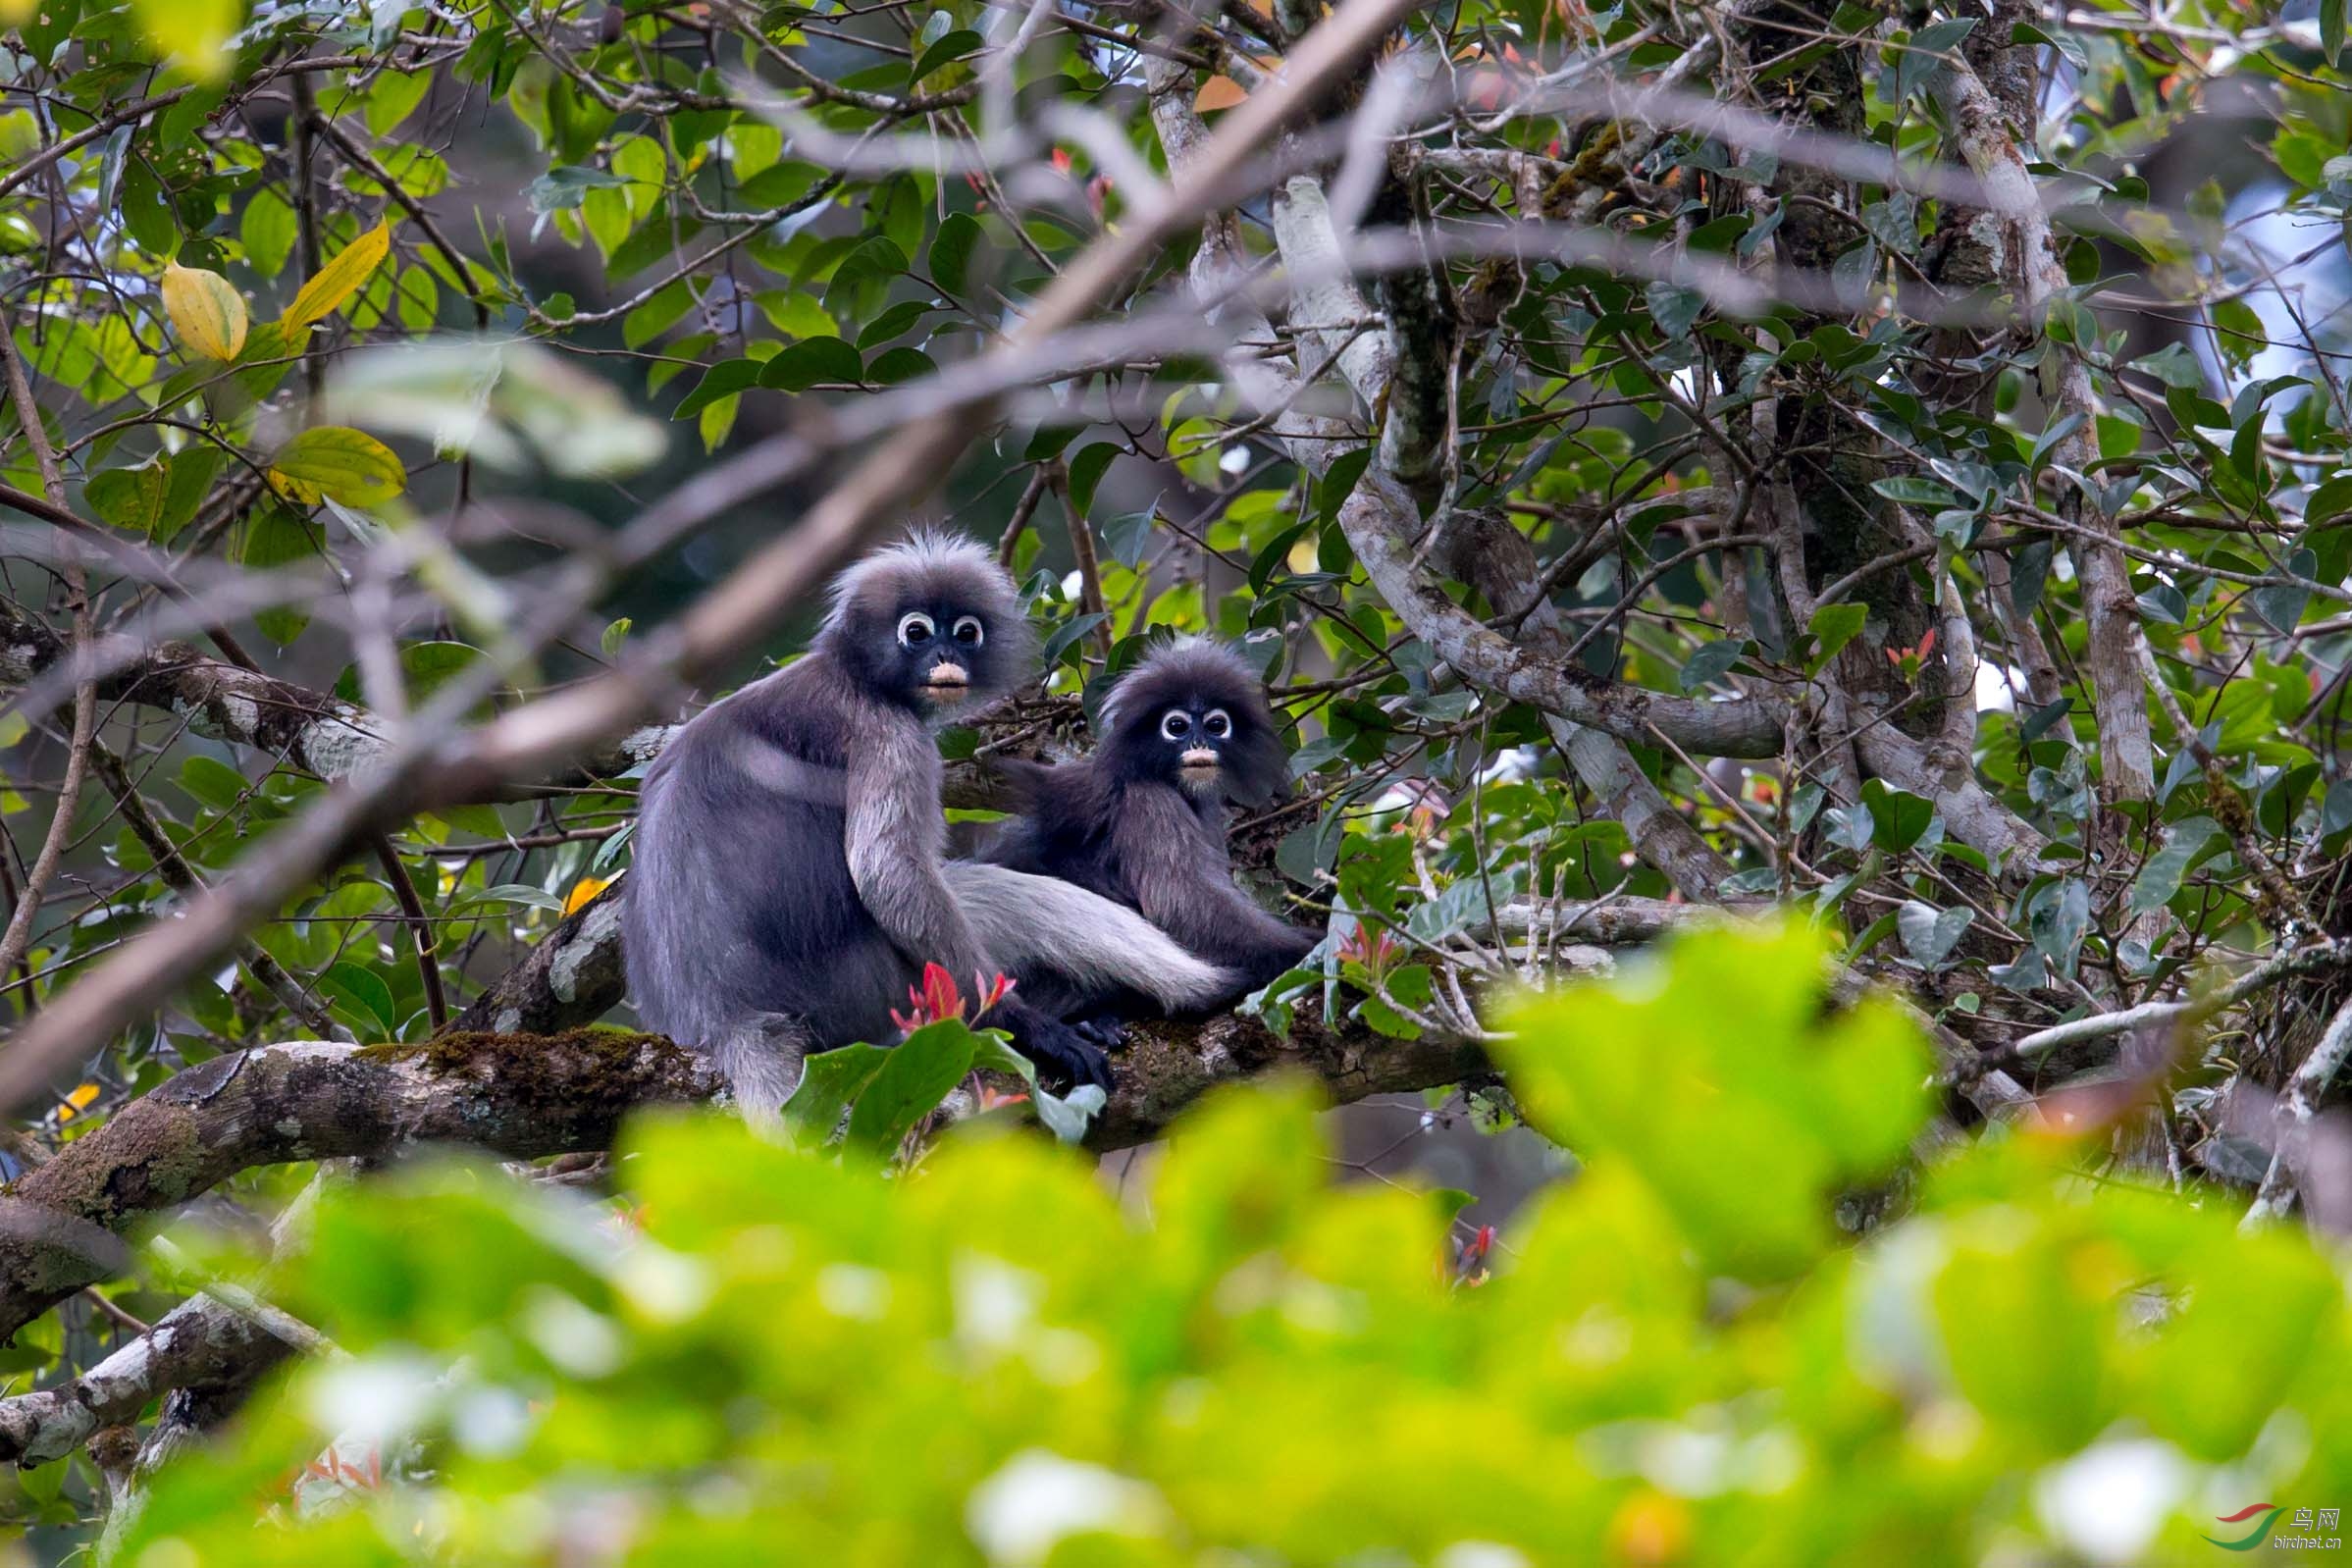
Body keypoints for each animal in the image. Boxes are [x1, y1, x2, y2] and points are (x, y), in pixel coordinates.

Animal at [622, 535, 1243, 1116]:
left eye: (965, 632)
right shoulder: (888, 733)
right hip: (862, 992)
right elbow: (887, 872)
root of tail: (731, 1020)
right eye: (916, 632)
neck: (854, 674)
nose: (945, 654)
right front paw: (1033, 1027)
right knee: (974, 891)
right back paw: (1217, 984)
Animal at [982, 636, 1322, 1014]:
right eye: (1176, 726)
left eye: (1216, 725)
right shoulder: (1149, 801)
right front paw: (1310, 947)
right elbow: (1182, 904)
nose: (1199, 744)